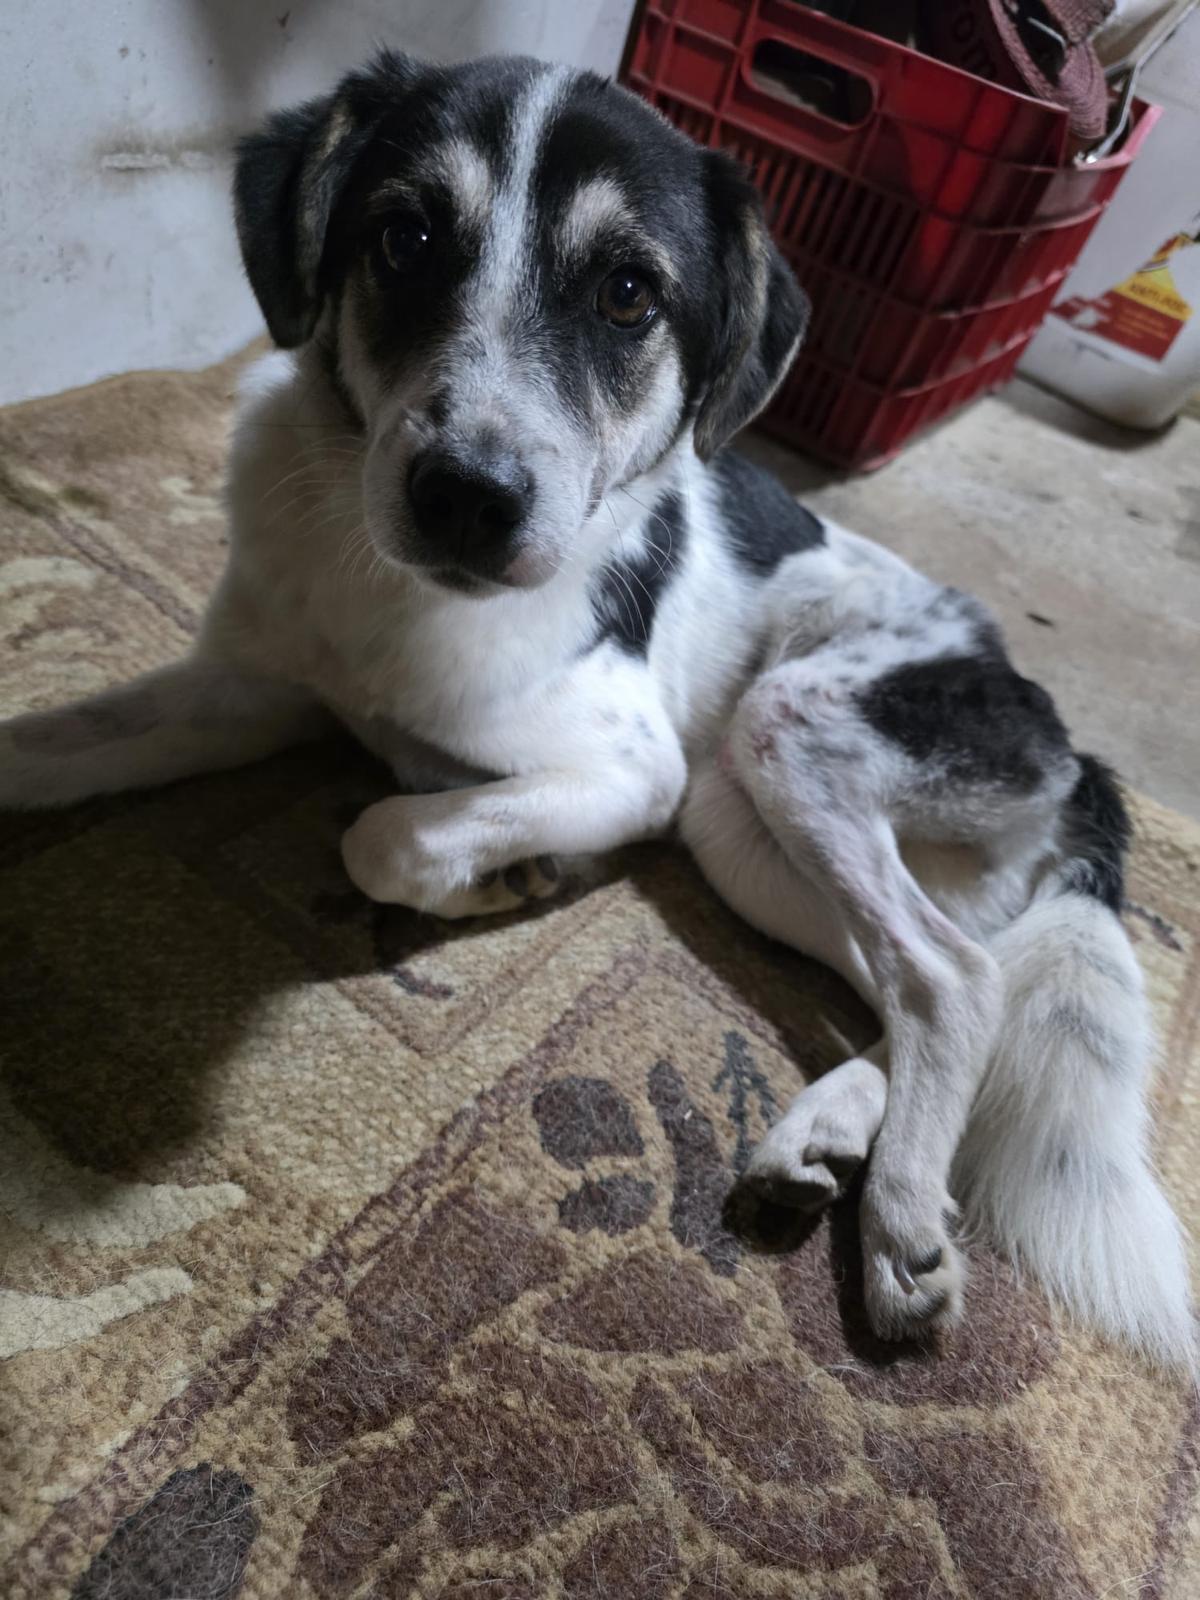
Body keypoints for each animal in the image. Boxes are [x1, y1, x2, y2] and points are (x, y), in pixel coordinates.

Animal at [1, 50, 1192, 1366]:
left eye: (630, 294)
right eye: (405, 237)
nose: (467, 497)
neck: (395, 605)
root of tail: (1075, 752)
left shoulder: (633, 773)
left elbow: (383, 836)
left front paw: (504, 875)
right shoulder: (245, 692)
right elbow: (52, 743)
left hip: (776, 734)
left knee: (952, 974)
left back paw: (899, 1221)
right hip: (741, 826)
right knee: (928, 977)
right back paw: (828, 1129)